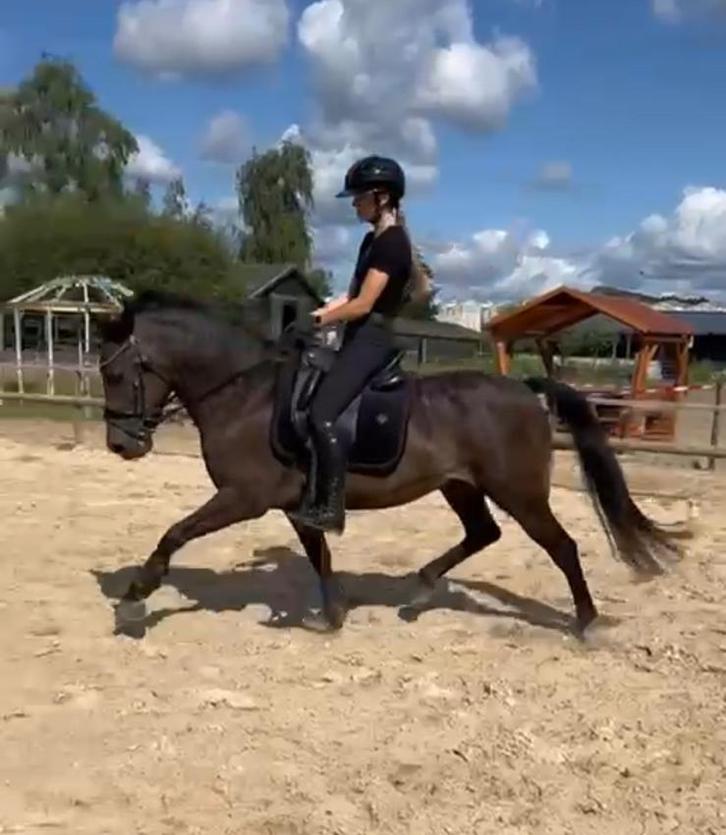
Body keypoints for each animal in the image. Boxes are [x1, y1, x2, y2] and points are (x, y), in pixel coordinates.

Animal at [98, 289, 681, 637]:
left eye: (114, 372)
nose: (122, 445)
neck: (246, 395)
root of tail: (525, 390)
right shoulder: (294, 502)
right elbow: (318, 554)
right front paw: (332, 615)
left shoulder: (244, 497)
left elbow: (175, 533)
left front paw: (134, 599)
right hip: (459, 485)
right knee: (483, 533)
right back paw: (420, 589)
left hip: (517, 490)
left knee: (561, 545)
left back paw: (586, 622)